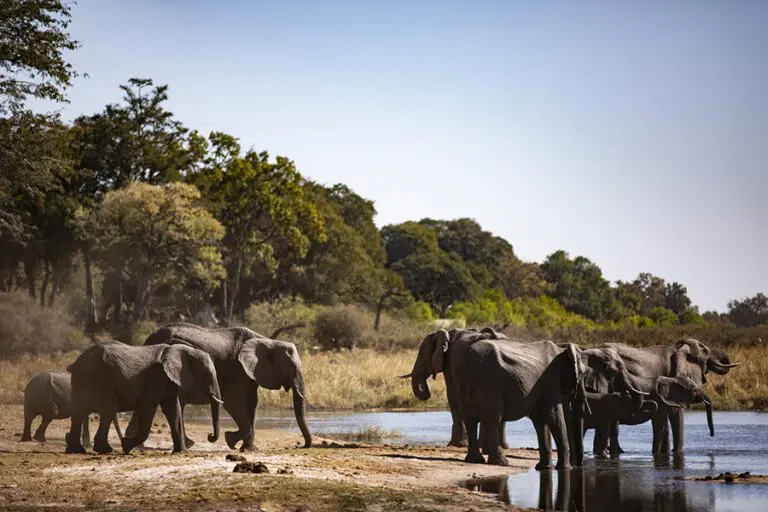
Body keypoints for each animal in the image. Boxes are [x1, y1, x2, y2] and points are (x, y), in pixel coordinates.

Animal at [64, 339, 222, 455]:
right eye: (206, 374)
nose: (210, 436)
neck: (182, 349)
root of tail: (76, 363)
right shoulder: (157, 378)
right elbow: (147, 408)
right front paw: (126, 446)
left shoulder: (168, 380)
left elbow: (173, 409)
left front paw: (181, 451)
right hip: (100, 380)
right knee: (108, 410)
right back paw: (105, 450)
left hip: (82, 380)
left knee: (79, 411)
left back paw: (76, 450)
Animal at [128, 322, 311, 451]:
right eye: (289, 367)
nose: (300, 446)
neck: (267, 340)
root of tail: (148, 339)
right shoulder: (237, 369)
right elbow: (233, 402)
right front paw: (231, 441)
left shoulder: (250, 373)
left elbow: (252, 404)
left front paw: (249, 449)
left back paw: (138, 445)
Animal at [457, 338, 647, 469]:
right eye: (619, 369)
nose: (580, 466)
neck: (574, 350)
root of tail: (469, 360)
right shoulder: (551, 380)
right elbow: (554, 414)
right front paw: (565, 469)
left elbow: (540, 420)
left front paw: (544, 468)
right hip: (490, 382)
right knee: (492, 417)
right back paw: (501, 462)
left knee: (470, 418)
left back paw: (474, 460)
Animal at [603, 338, 737, 454]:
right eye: (705, 351)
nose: (711, 435)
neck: (678, 347)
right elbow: (675, 414)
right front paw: (675, 452)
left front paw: (666, 452)